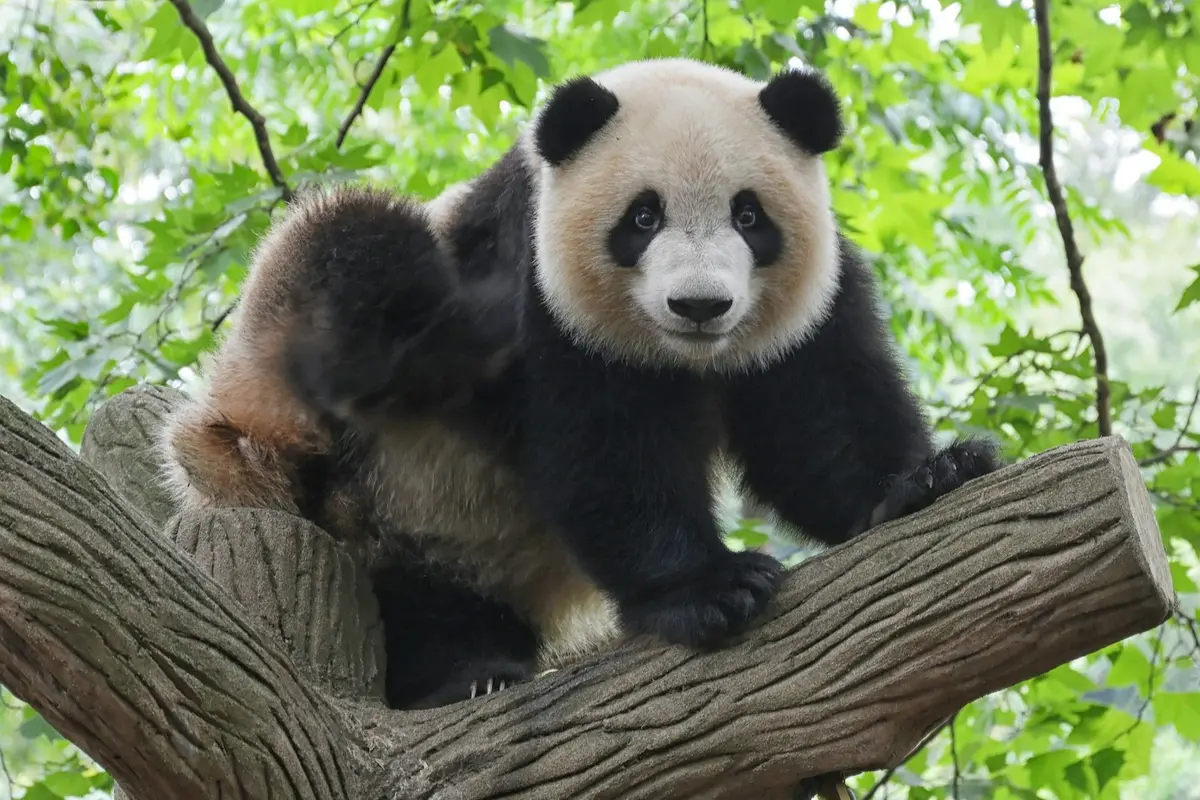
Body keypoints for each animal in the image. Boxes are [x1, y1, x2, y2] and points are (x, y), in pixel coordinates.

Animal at [159, 57, 1002, 713]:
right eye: (642, 217)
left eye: (749, 216)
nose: (700, 305)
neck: (686, 358)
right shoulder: (544, 295)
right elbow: (606, 453)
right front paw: (711, 588)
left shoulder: (805, 308)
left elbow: (818, 422)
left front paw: (926, 478)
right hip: (318, 430)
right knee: (354, 245)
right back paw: (459, 678)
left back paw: (473, 663)